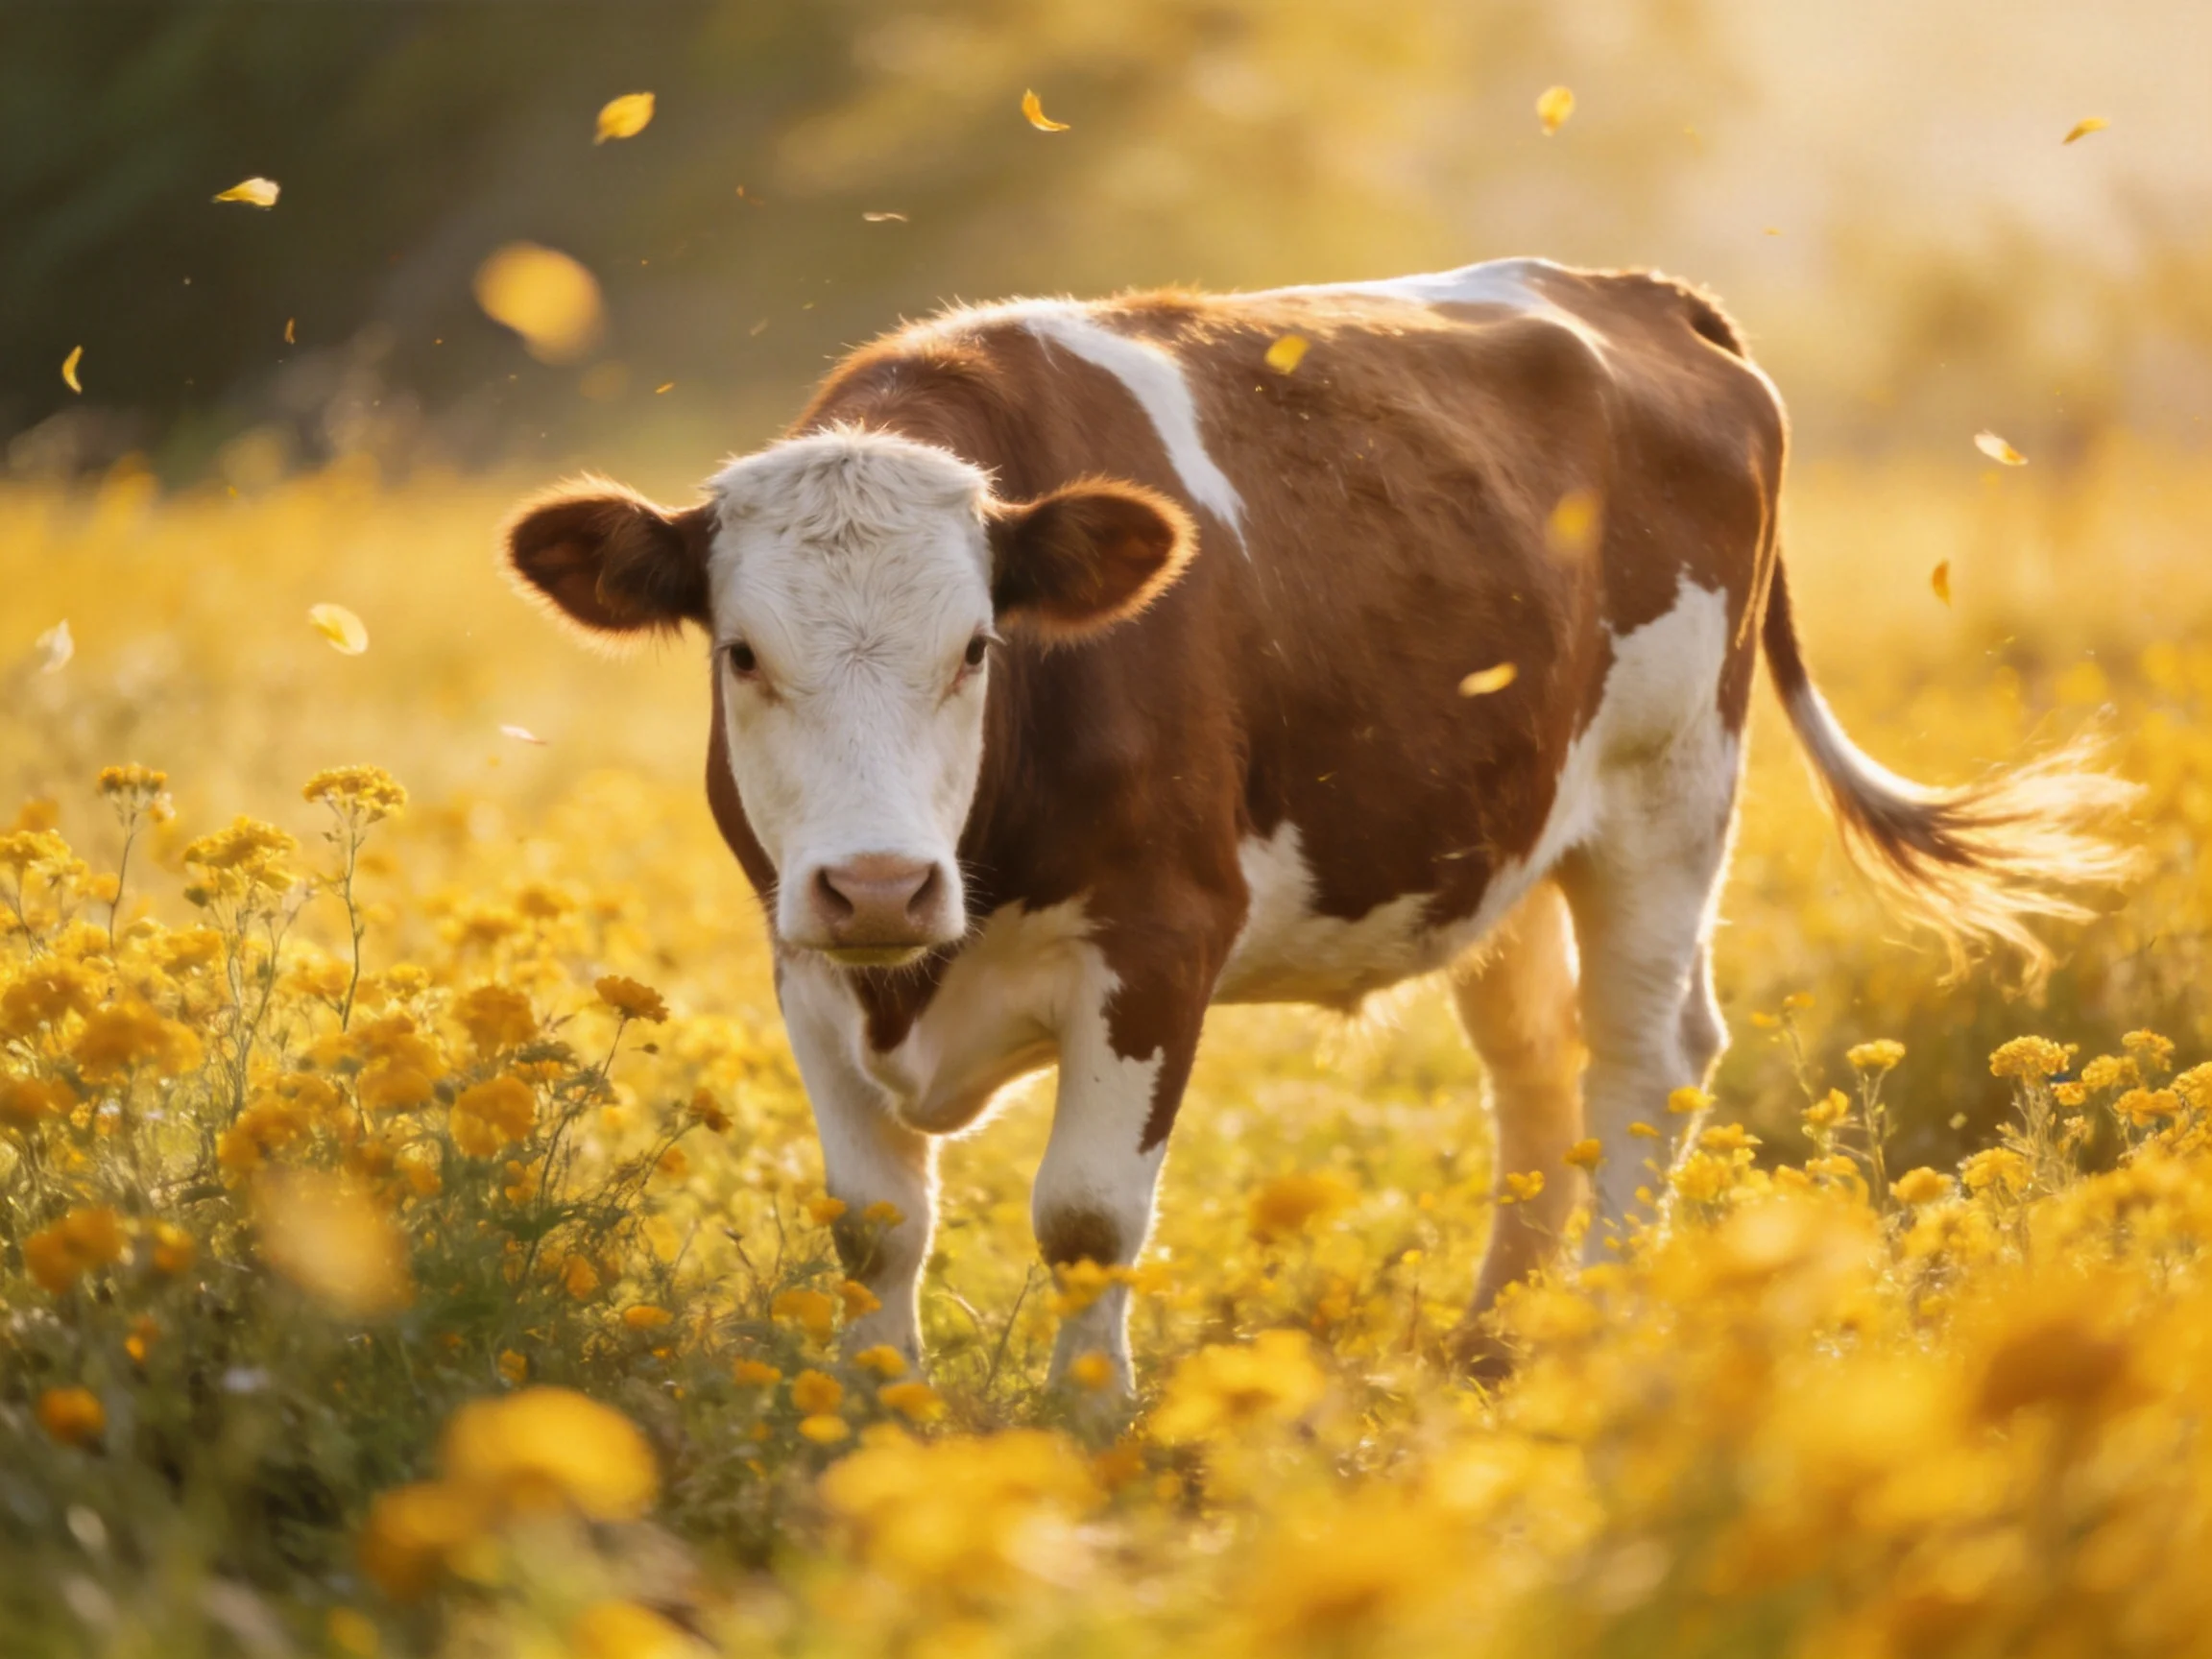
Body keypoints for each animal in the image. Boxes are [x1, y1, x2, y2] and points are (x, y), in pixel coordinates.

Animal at [503, 258, 2130, 1395]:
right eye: (740, 655)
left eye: (976, 648)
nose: (885, 883)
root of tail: (1633, 293)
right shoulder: (800, 953)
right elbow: (873, 1227)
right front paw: (872, 1422)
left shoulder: (1162, 936)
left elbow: (1088, 1216)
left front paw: (1091, 1430)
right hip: (1500, 840)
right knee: (1536, 1074)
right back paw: (1497, 1338)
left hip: (1669, 798)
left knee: (1642, 1066)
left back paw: (1603, 1322)